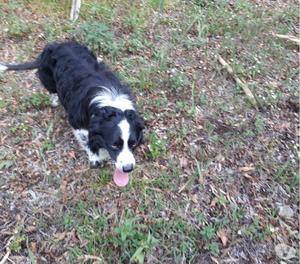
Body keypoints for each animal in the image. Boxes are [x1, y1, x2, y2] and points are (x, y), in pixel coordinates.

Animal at [0, 41, 144, 186]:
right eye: (114, 145)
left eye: (133, 144)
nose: (128, 169)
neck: (111, 104)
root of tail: (54, 45)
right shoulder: (78, 123)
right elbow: (87, 142)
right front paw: (95, 158)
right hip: (49, 80)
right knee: (52, 90)